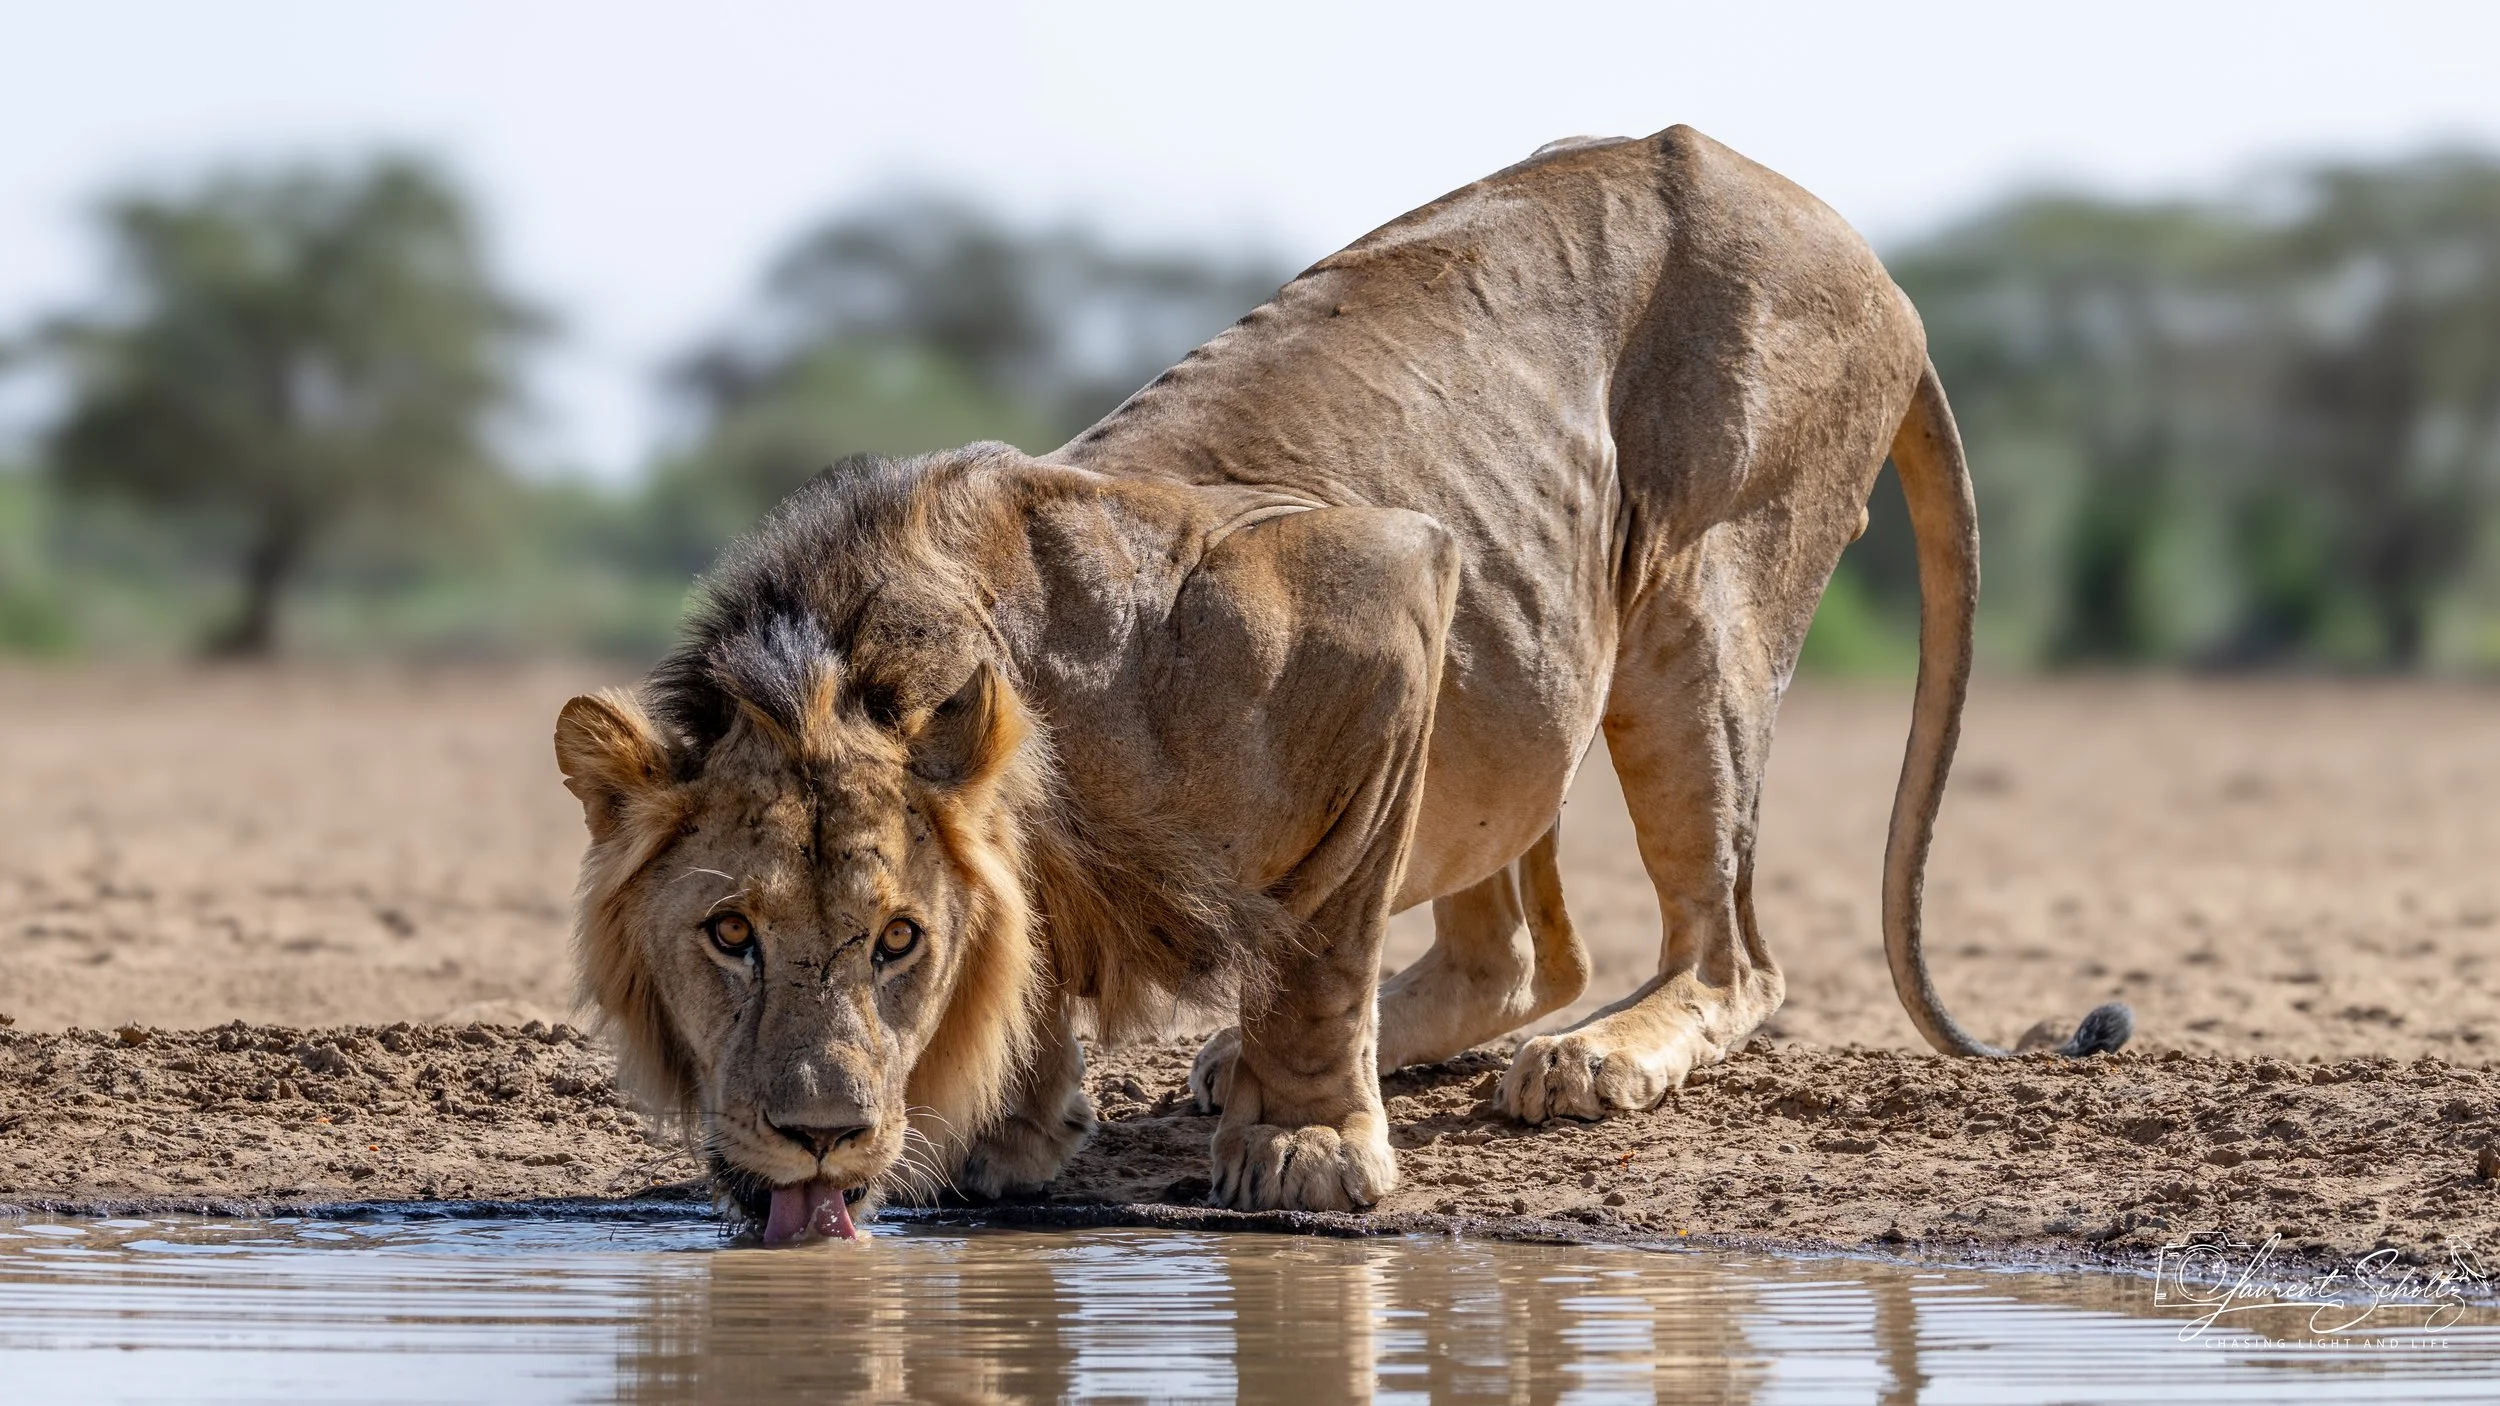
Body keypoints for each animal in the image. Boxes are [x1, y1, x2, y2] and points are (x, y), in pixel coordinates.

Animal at [554, 125, 2130, 1239]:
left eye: (896, 940)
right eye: (728, 934)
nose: (816, 1132)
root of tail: (1869, 254)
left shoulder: (1379, 589)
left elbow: (1316, 945)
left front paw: (1304, 1145)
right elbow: (1058, 972)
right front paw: (1019, 1126)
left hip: (1690, 600)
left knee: (1729, 950)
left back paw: (1591, 1062)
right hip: (1510, 645)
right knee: (1521, 946)